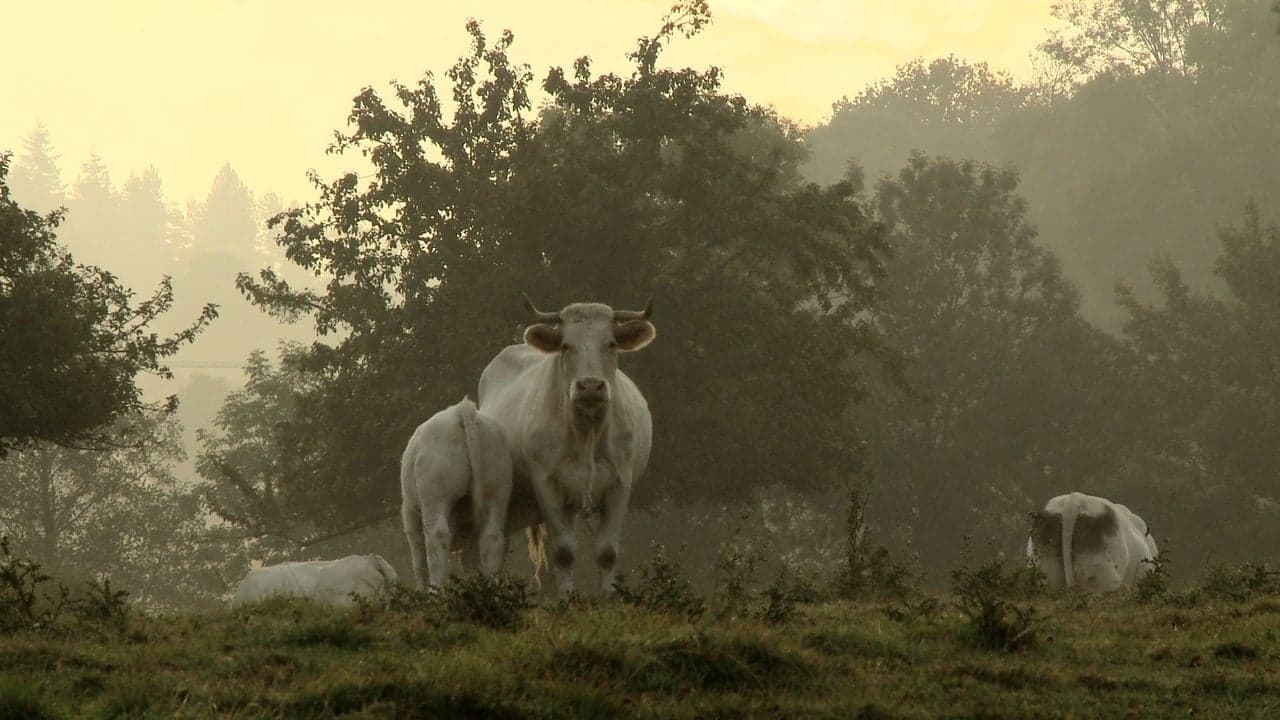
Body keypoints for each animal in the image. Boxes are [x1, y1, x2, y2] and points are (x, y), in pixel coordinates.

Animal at [396, 394, 512, 586]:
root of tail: (460, 411)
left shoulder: (409, 512)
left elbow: (418, 556)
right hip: (497, 487)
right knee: (492, 537)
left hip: (435, 495)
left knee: (437, 536)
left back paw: (436, 588)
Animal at [481, 294, 660, 597]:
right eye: (566, 345)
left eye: (611, 343)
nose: (590, 387)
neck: (587, 432)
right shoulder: (547, 485)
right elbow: (564, 552)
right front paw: (566, 598)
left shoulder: (620, 484)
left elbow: (607, 552)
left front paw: (608, 597)